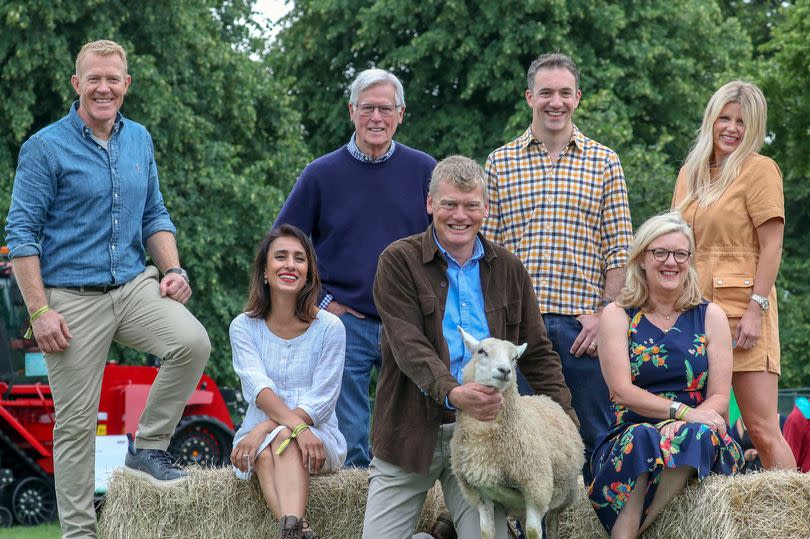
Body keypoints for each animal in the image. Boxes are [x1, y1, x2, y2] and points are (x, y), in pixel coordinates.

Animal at [448, 330, 580, 539]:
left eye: (515, 358)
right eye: (481, 351)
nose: (504, 370)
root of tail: (545, 398)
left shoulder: (536, 490)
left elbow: (534, 532)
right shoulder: (480, 494)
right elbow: (486, 532)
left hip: (565, 494)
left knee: (552, 522)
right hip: (521, 507)